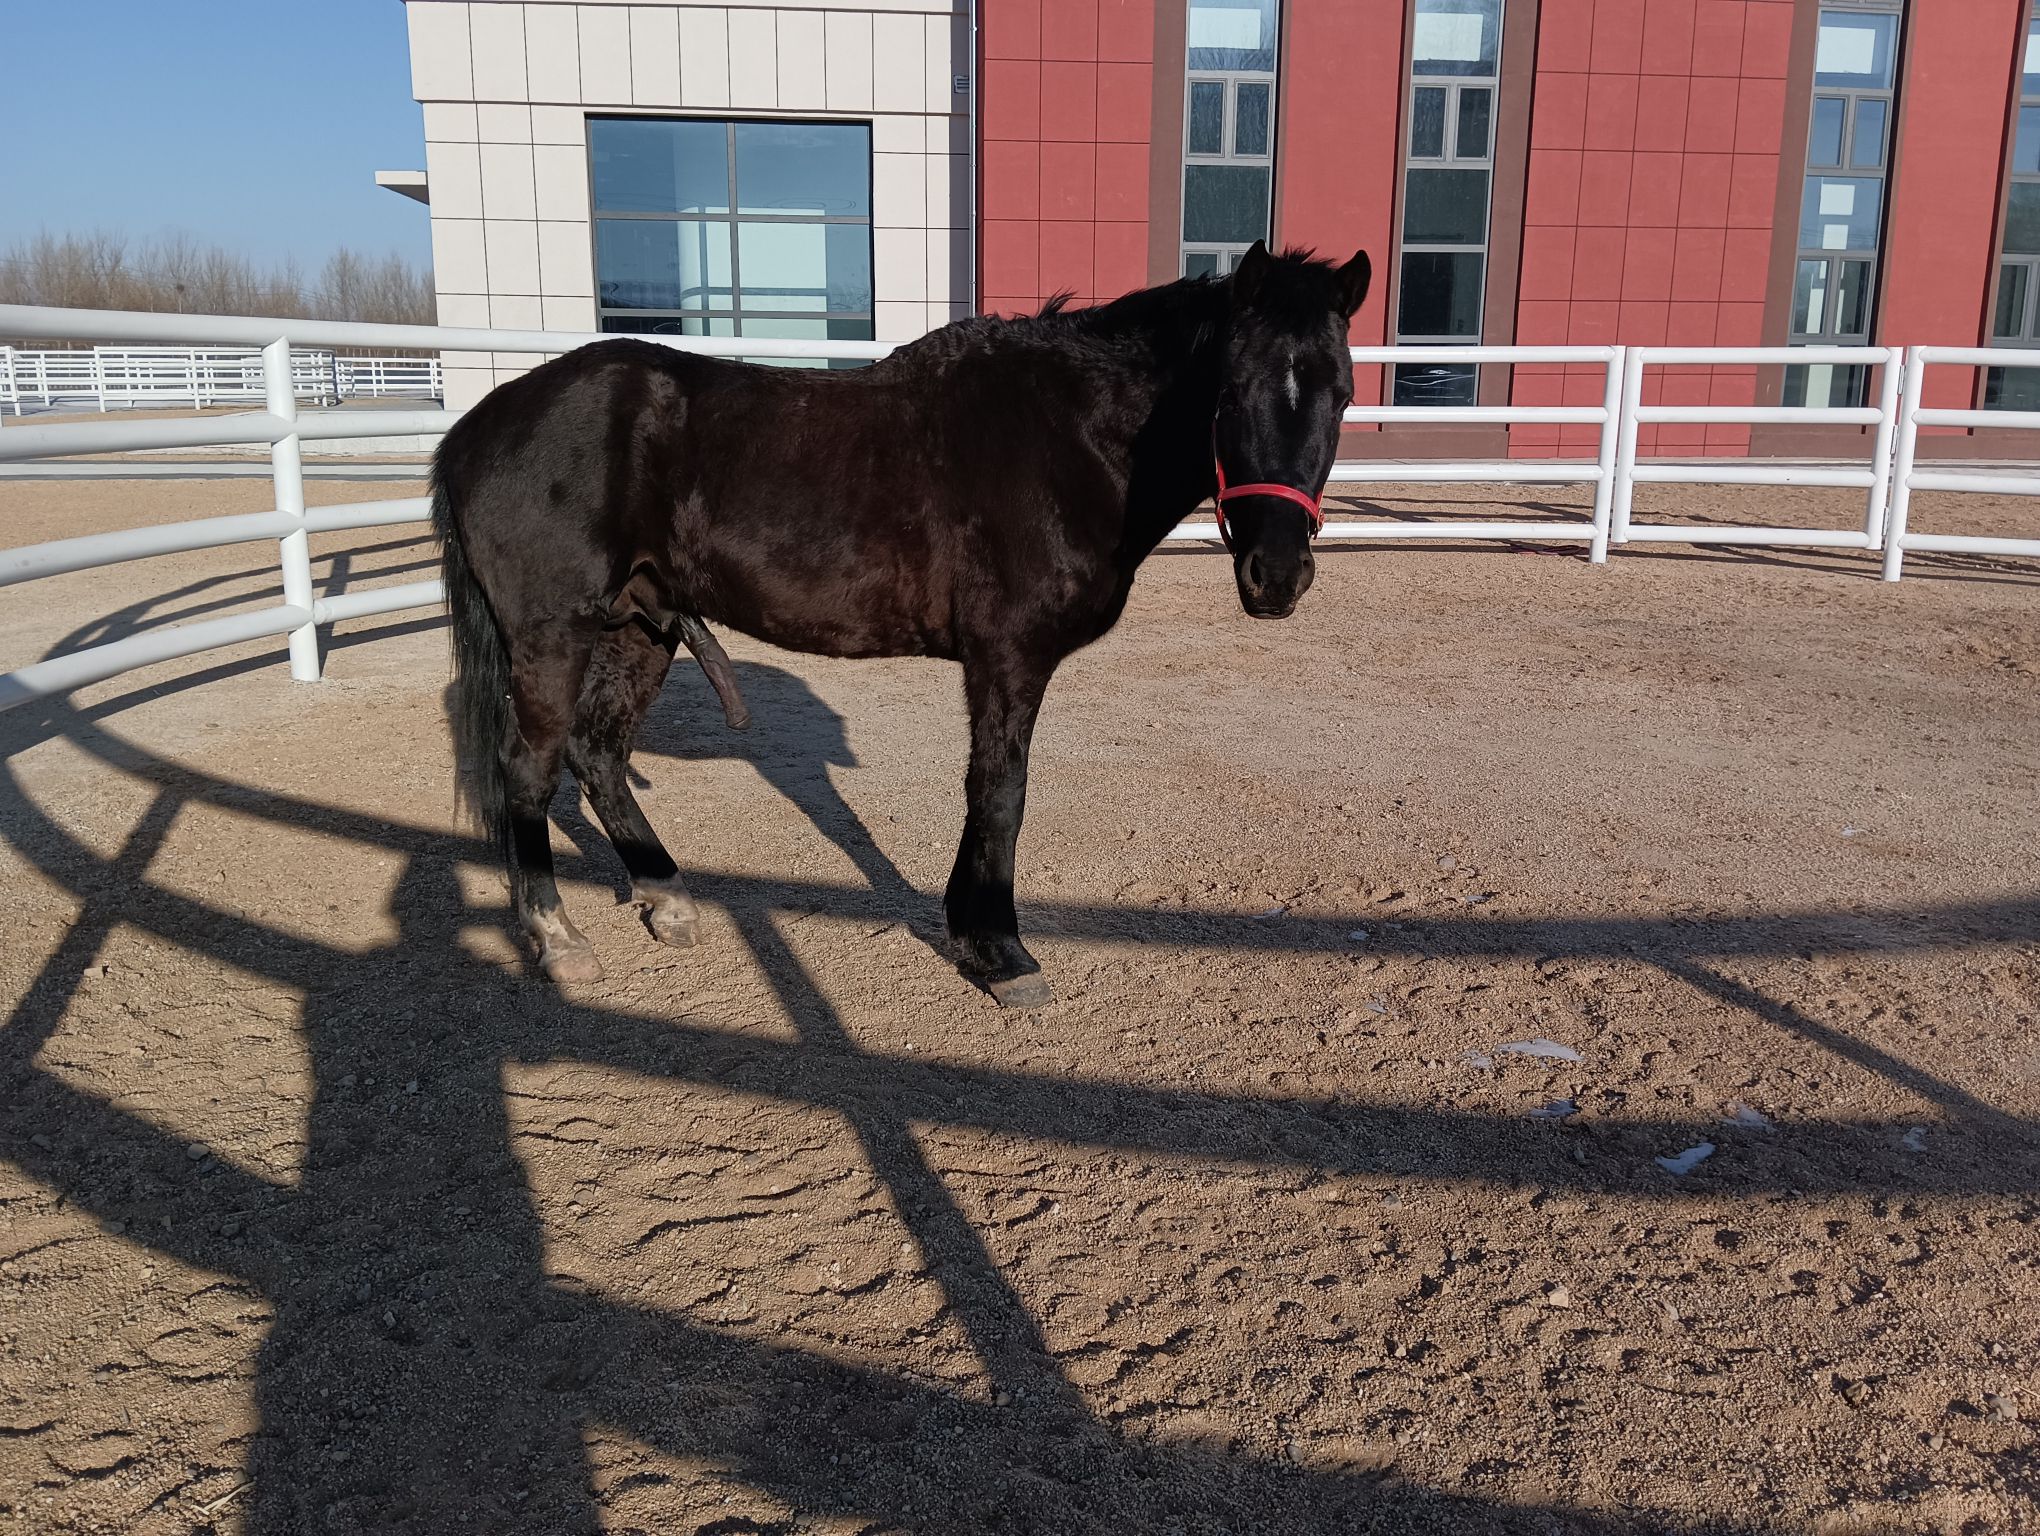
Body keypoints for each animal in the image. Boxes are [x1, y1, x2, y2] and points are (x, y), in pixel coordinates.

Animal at [429, 240, 1370, 1008]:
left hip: (639, 628)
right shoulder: (1008, 658)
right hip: (552, 637)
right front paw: (1001, 952)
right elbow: (1000, 794)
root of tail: (478, 427)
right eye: (1232, 392)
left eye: (1343, 394)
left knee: (599, 756)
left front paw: (972, 933)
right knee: (530, 770)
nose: (1277, 575)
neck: (1066, 436)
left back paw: (668, 899)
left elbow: (989, 793)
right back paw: (557, 937)